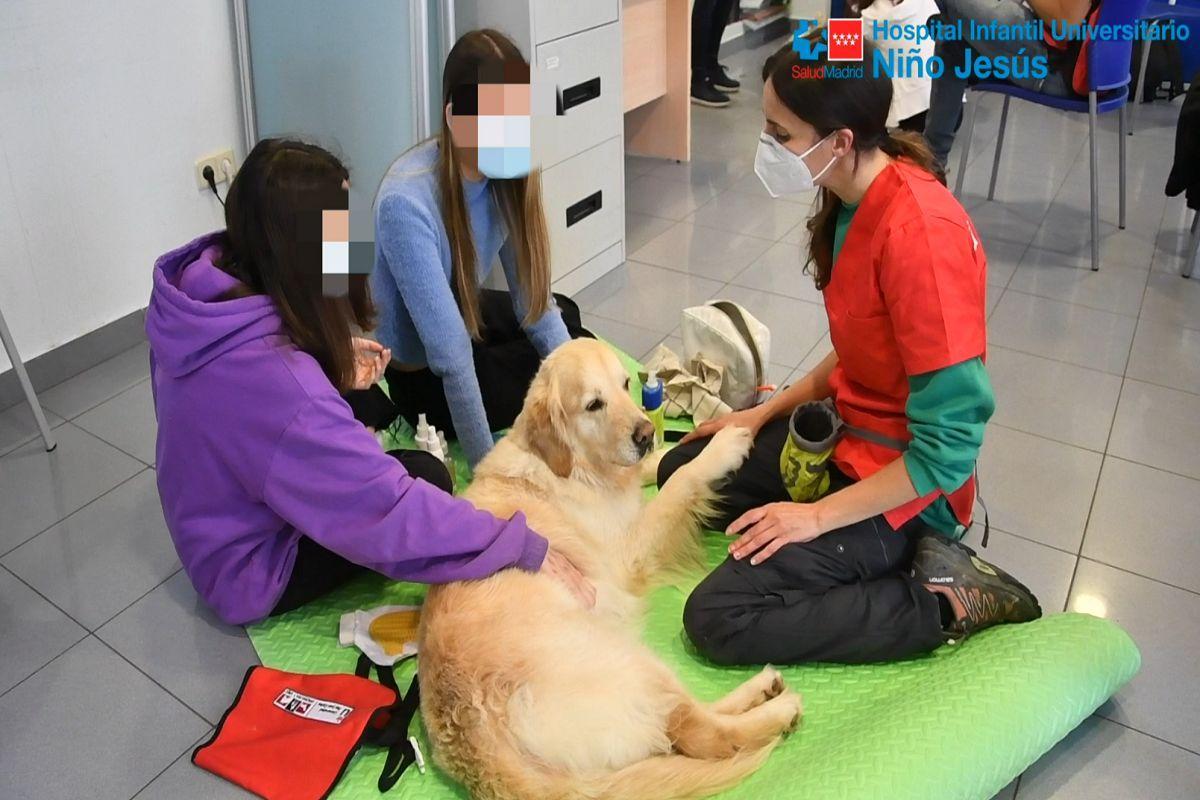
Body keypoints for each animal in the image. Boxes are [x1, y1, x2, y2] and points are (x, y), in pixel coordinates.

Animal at [417, 340, 801, 800]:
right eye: (593, 404)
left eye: (625, 384)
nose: (645, 433)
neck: (571, 465)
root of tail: (476, 748)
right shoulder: (628, 551)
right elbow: (680, 480)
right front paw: (723, 445)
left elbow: (664, 465)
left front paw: (680, 446)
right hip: (629, 662)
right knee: (700, 734)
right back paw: (778, 710)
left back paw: (763, 688)